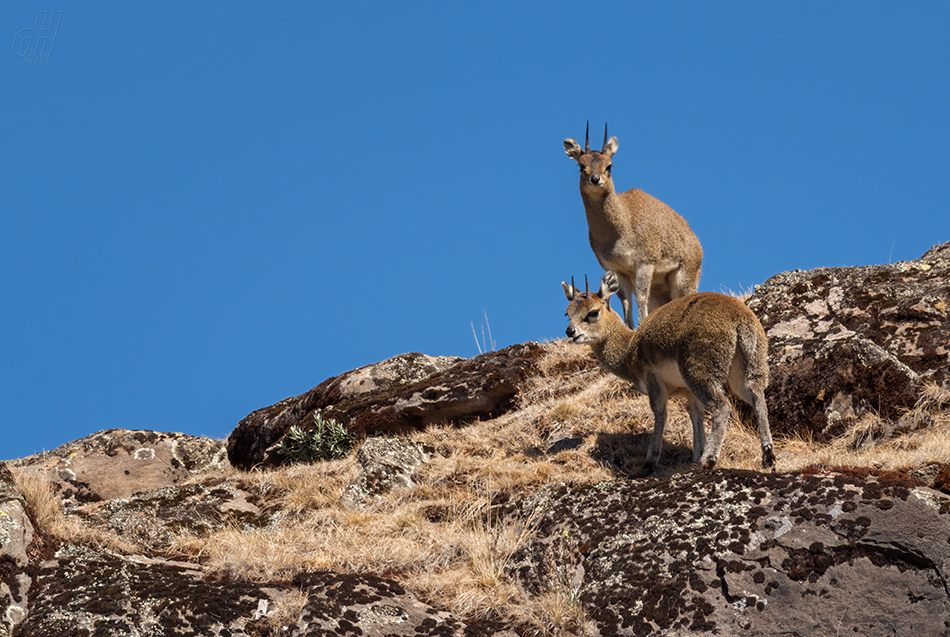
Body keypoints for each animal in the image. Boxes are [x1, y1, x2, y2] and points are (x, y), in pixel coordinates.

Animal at [560, 270, 776, 474]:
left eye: (592, 312)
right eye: (568, 313)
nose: (570, 332)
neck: (629, 348)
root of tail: (738, 318)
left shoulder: (653, 380)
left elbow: (660, 412)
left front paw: (650, 463)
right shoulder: (689, 393)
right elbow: (696, 418)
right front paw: (696, 456)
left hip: (700, 374)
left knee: (722, 407)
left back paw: (708, 461)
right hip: (747, 371)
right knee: (758, 399)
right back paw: (768, 457)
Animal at [564, 123, 708, 328]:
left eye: (609, 166)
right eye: (581, 166)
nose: (595, 179)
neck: (619, 232)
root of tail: (697, 243)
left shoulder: (645, 262)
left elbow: (640, 297)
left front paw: (641, 325)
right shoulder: (618, 269)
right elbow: (625, 301)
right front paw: (629, 327)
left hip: (685, 278)